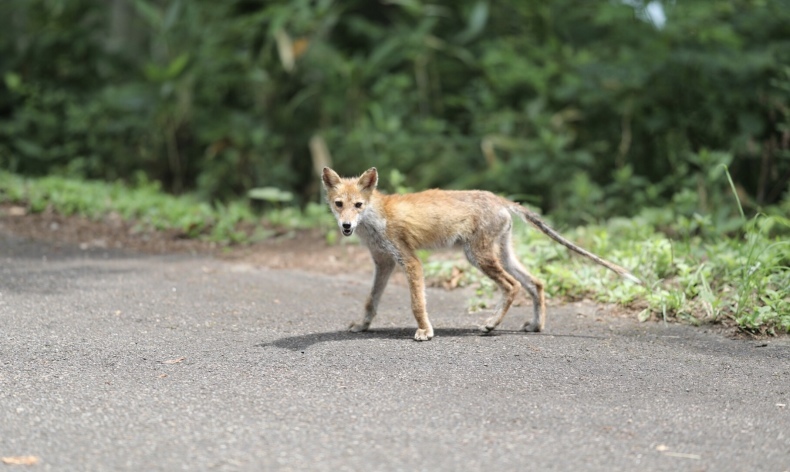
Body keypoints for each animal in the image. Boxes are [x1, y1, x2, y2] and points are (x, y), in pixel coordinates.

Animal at [322, 168, 644, 342]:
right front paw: (362, 326)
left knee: (513, 287)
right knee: (536, 283)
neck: (376, 218)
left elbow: (416, 304)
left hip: (478, 257)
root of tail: (498, 198)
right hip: (501, 255)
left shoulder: (410, 261)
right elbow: (370, 301)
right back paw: (536, 325)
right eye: (339, 204)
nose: (347, 226)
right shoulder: (384, 262)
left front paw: (425, 331)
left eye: (358, 205)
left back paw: (491, 324)